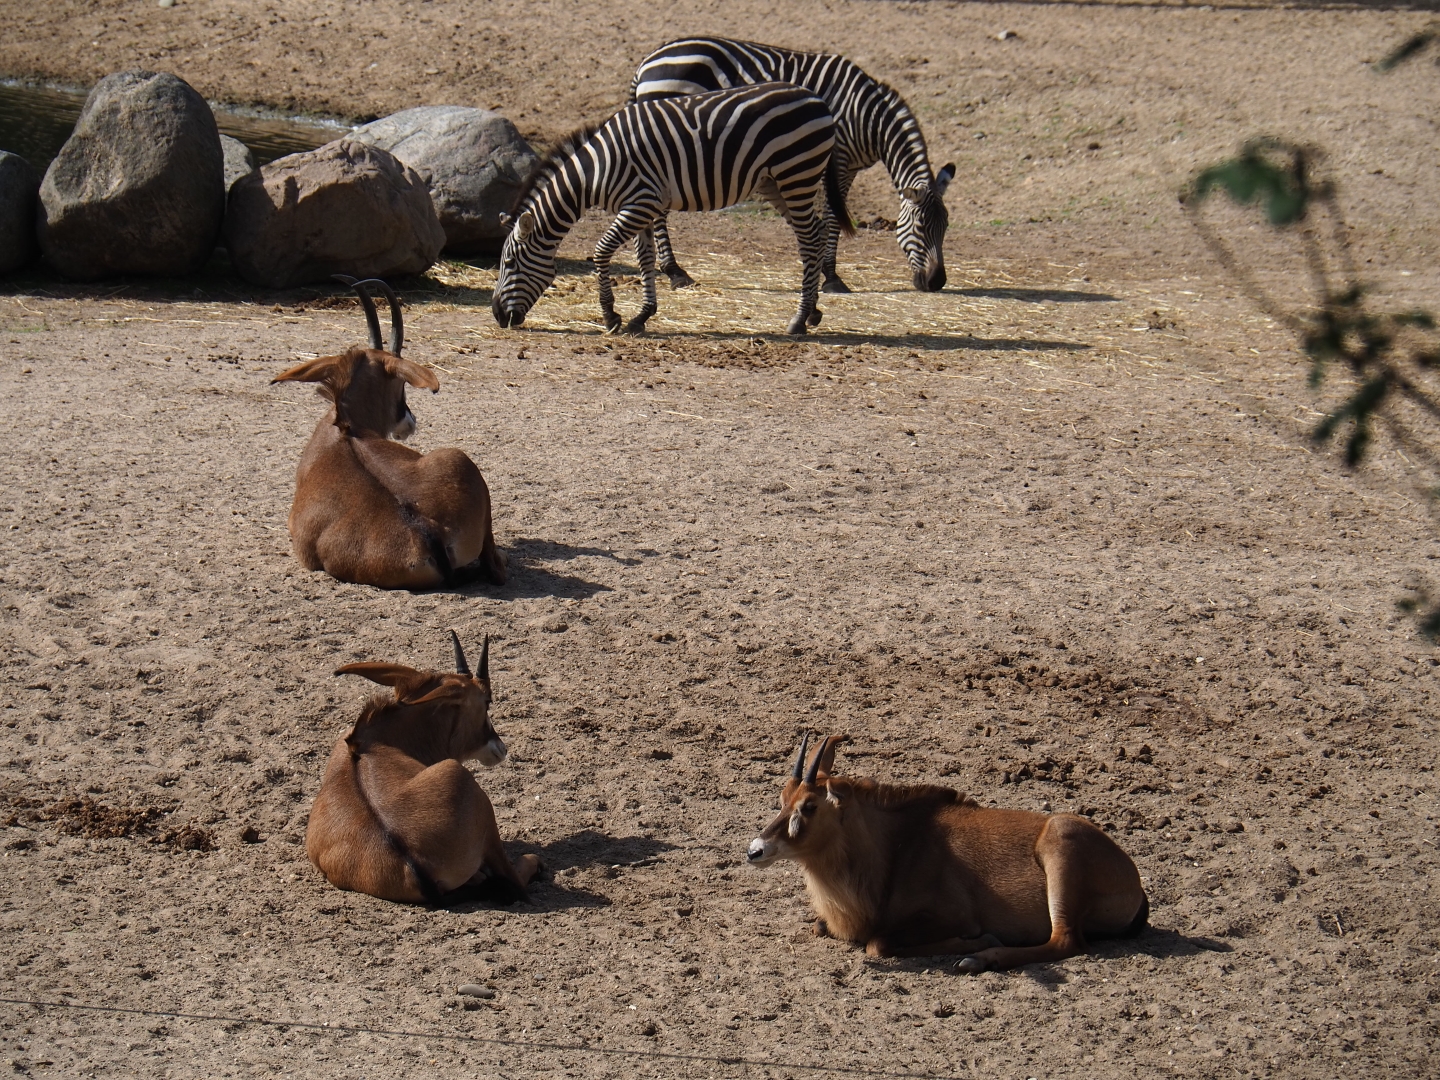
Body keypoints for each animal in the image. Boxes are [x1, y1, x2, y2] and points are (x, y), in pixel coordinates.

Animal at [491, 82, 852, 337]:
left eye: (509, 263)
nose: (496, 315)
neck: (595, 171)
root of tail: (817, 99)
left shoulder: (640, 202)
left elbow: (602, 251)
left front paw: (611, 315)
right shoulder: (641, 208)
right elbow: (645, 259)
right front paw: (642, 316)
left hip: (796, 173)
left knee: (809, 237)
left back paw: (799, 318)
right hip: (774, 183)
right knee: (816, 232)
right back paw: (813, 312)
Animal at [630, 37, 955, 294]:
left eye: (946, 226)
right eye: (921, 226)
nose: (937, 282)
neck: (868, 117)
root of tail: (648, 59)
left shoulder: (843, 166)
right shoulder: (838, 161)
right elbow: (834, 218)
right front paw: (831, 277)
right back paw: (675, 271)